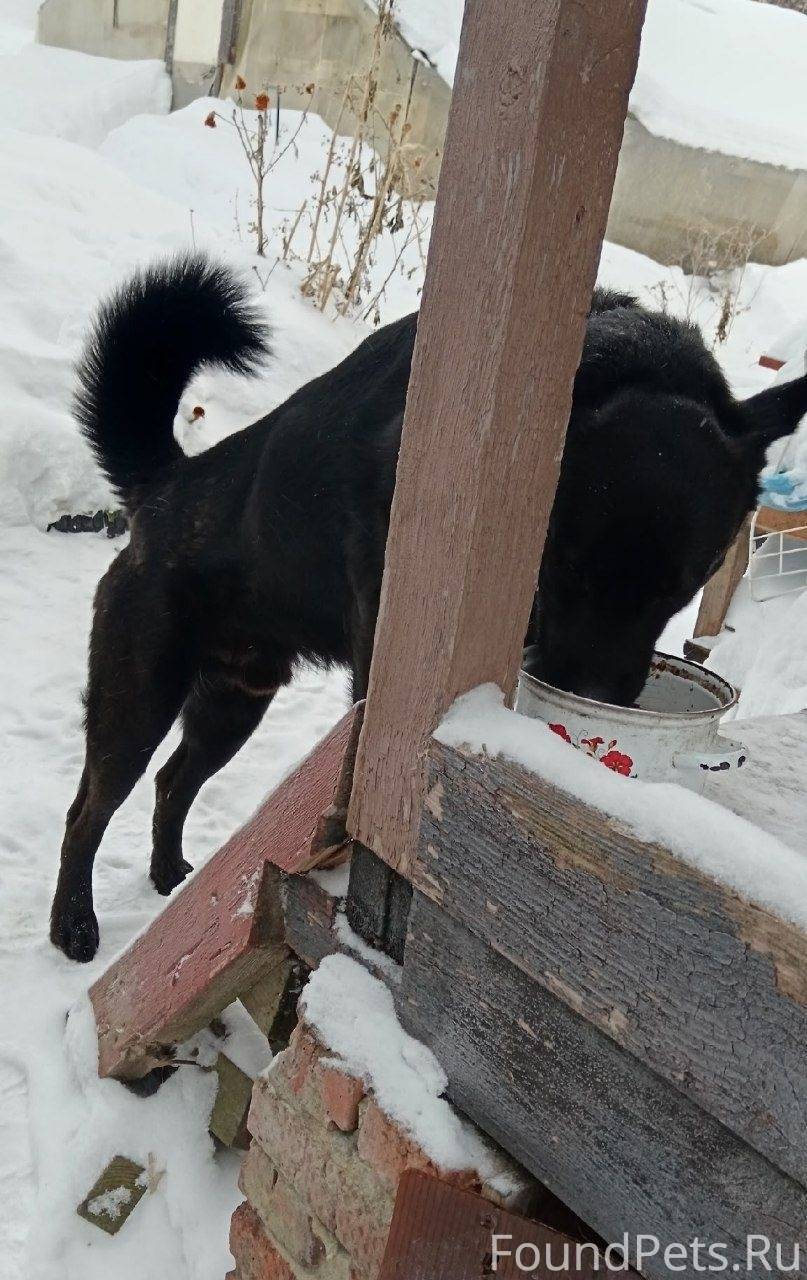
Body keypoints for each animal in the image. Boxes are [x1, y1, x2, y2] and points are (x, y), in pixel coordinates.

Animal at [49, 256, 807, 961]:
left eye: (687, 584)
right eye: (563, 562)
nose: (591, 696)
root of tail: (163, 487)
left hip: (234, 702)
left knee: (173, 780)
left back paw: (169, 876)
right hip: (138, 700)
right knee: (88, 810)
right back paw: (74, 926)